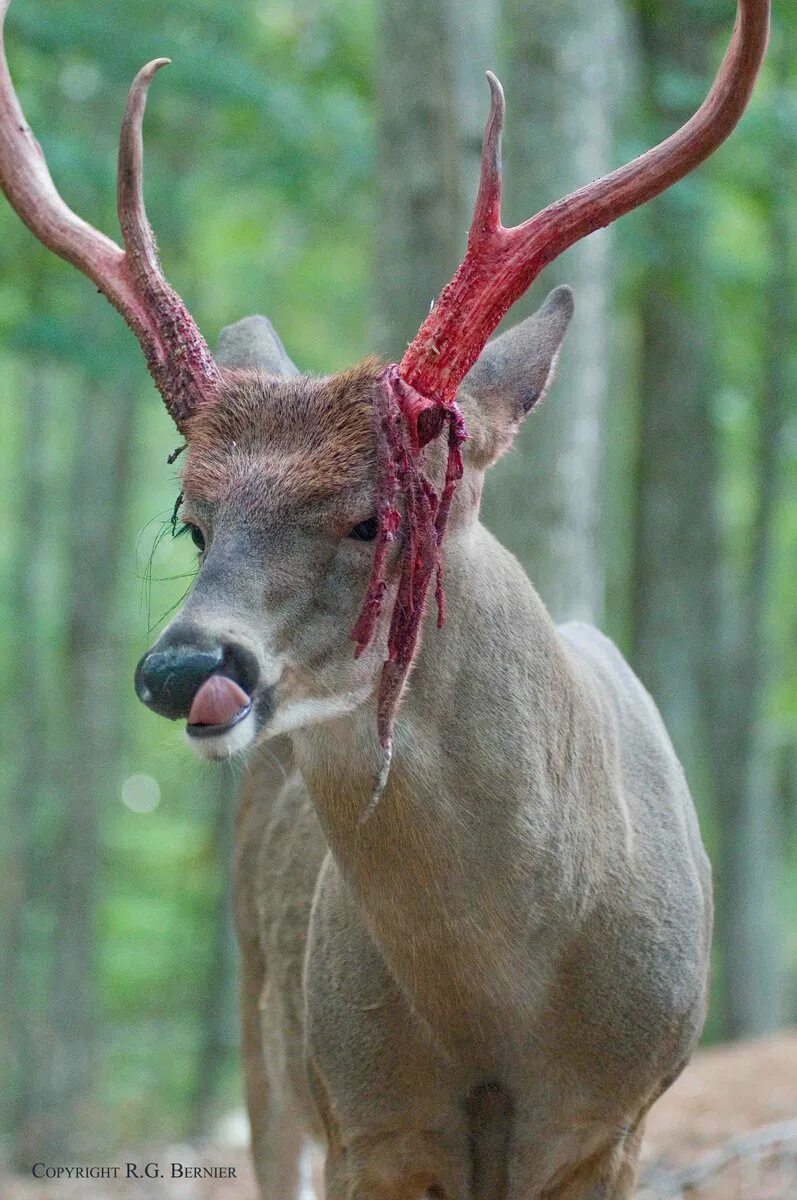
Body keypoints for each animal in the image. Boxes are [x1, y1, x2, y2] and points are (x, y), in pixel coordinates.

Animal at [1, 0, 772, 1195]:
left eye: (377, 516)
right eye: (194, 521)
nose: (184, 667)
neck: (501, 1002)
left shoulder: (611, 1121)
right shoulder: (365, 1116)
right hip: (262, 1024)